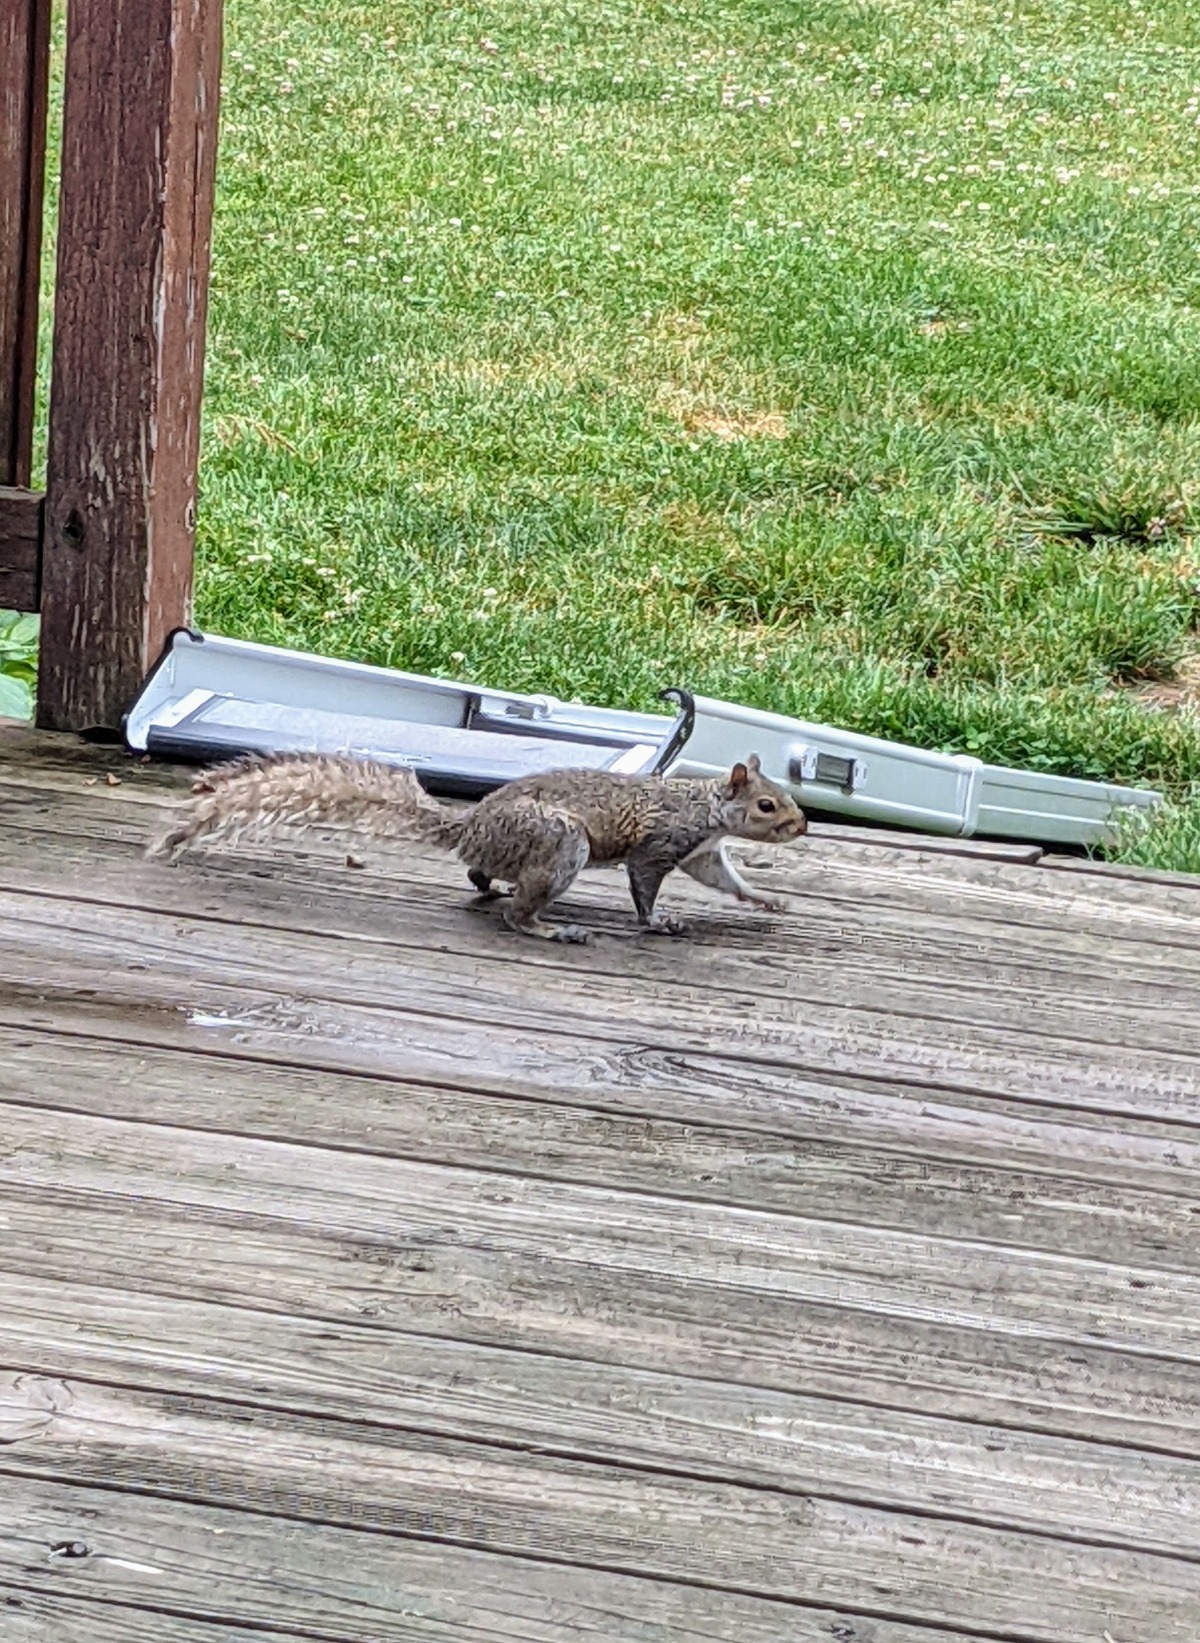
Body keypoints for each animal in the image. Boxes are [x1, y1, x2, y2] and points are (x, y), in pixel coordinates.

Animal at [149, 752, 805, 946]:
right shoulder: (659, 844)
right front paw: (658, 922)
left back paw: (493, 886)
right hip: (560, 842)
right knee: (518, 914)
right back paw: (550, 927)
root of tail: (470, 827)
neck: (706, 808)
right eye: (767, 806)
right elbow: (643, 888)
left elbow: (727, 881)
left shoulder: (702, 852)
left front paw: (767, 900)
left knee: (478, 876)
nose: (801, 826)